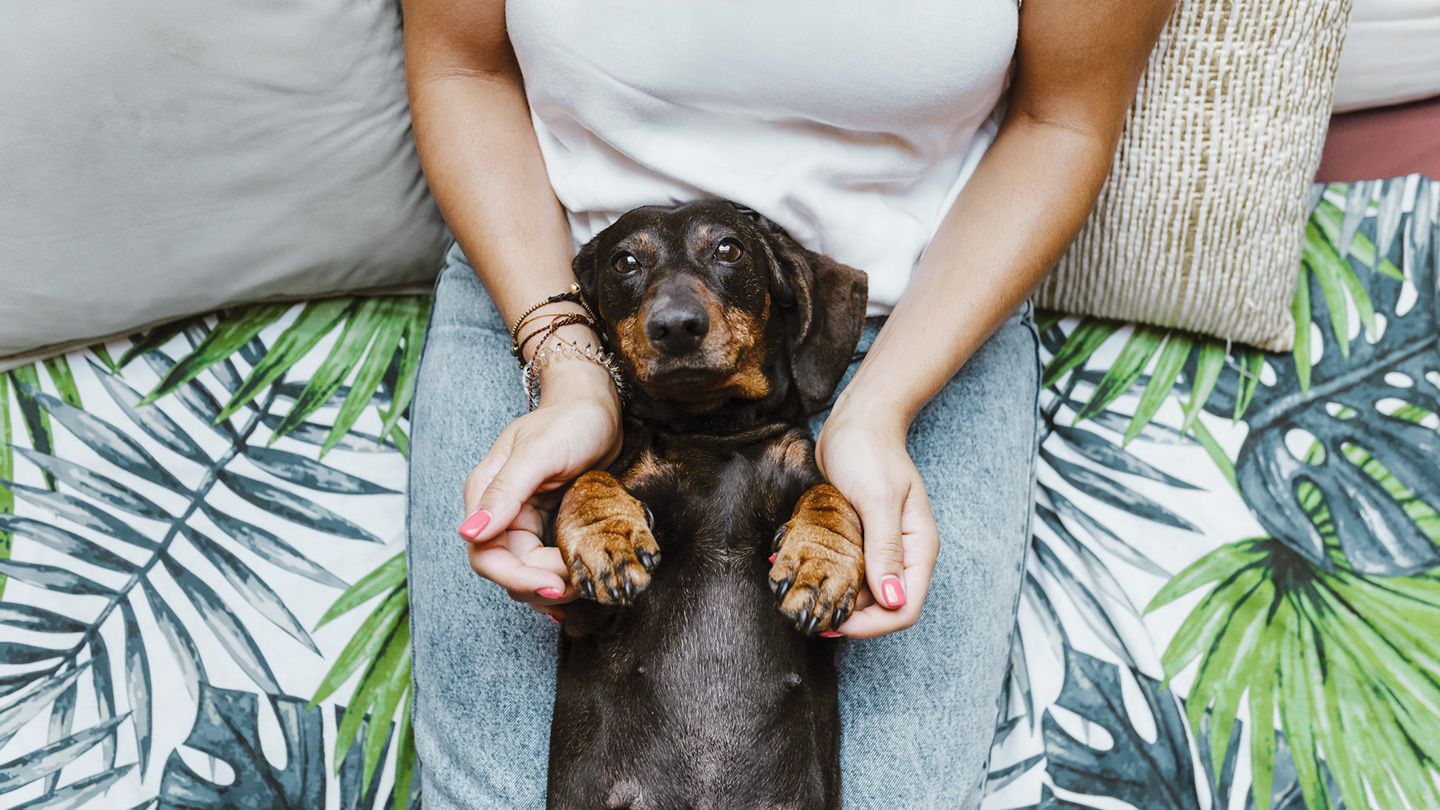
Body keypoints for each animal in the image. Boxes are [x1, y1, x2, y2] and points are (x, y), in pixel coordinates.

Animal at [544, 197, 864, 807]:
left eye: (728, 249)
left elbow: (832, 490)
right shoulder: (579, 616)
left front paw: (821, 562)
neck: (713, 431)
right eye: (624, 262)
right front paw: (606, 537)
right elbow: (588, 476)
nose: (676, 326)